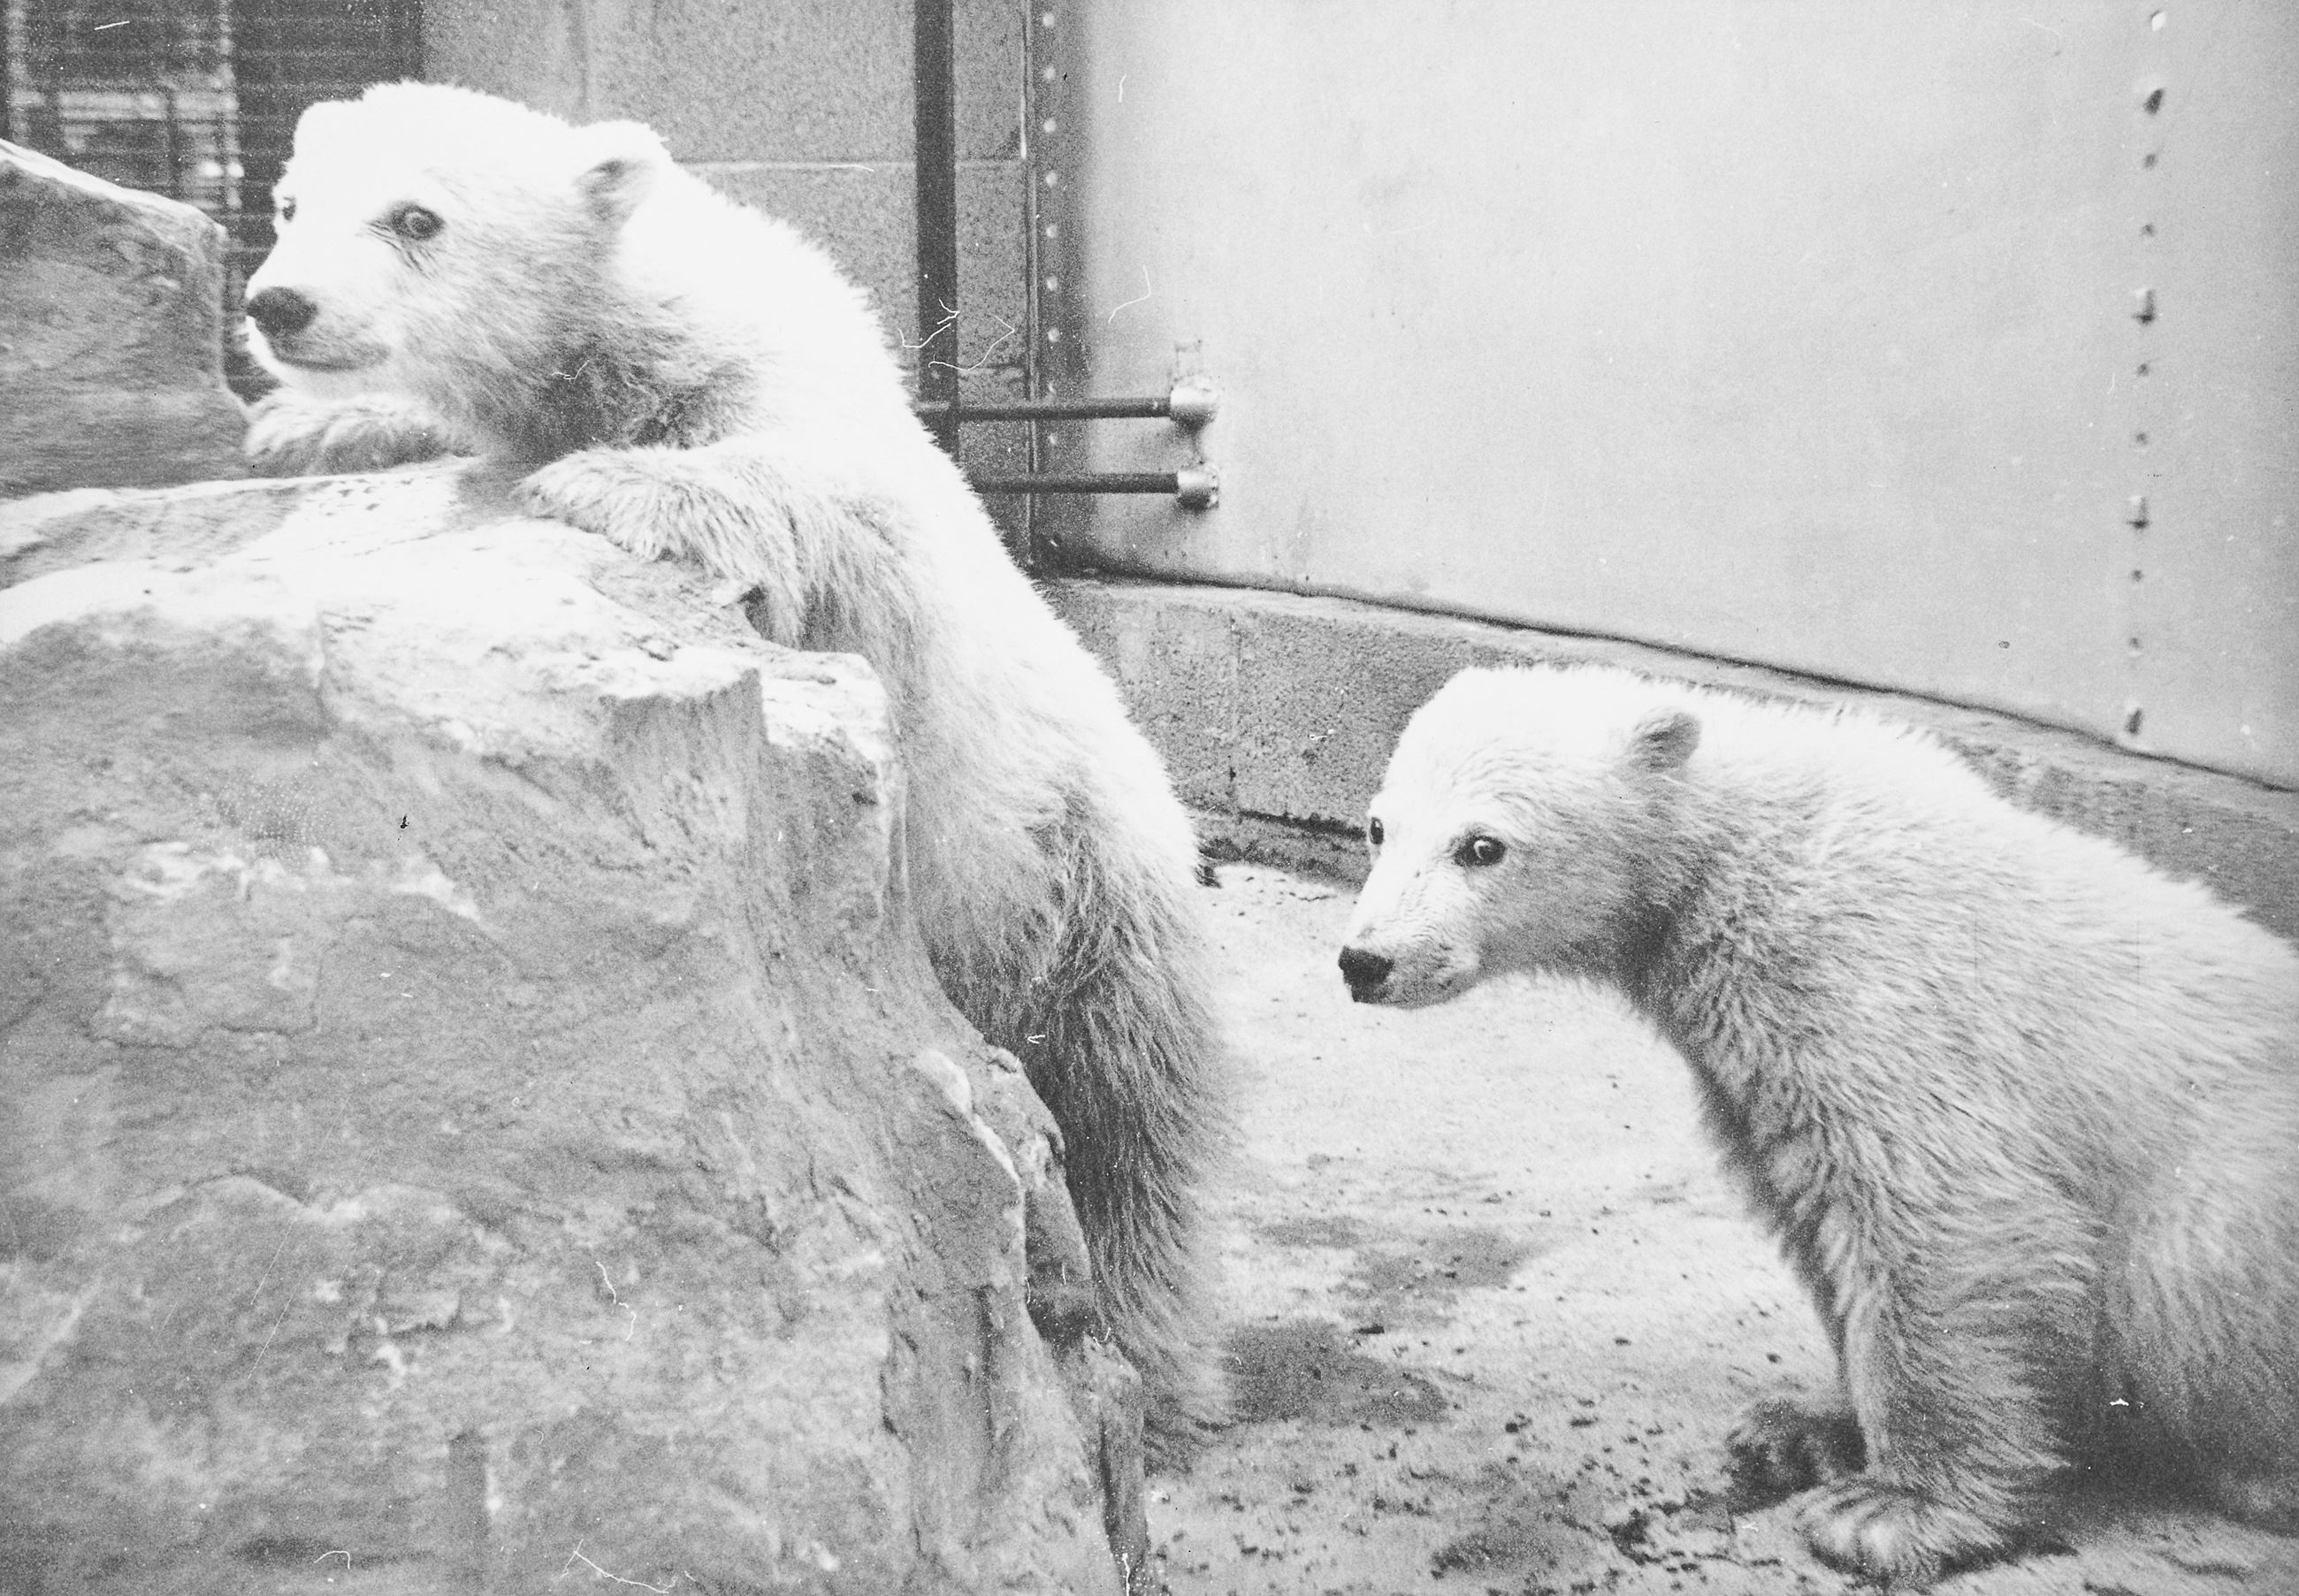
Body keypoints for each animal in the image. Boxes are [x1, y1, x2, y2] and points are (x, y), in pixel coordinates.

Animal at [236, 82, 1228, 1438]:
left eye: (416, 217)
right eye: (291, 201)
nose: (276, 304)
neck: (636, 329)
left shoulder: (797, 421)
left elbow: (820, 501)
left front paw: (611, 483)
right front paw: (301, 425)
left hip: (1083, 886)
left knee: (1135, 1118)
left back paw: (1148, 1357)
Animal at [1336, 664, 2299, 1584]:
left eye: (1482, 844)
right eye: (1379, 826)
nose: (1364, 960)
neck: (1743, 857)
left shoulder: (1879, 996)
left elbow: (1942, 1218)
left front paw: (1891, 1507)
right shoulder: (1758, 1066)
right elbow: (1813, 1210)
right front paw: (1804, 1424)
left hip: (2227, 1193)